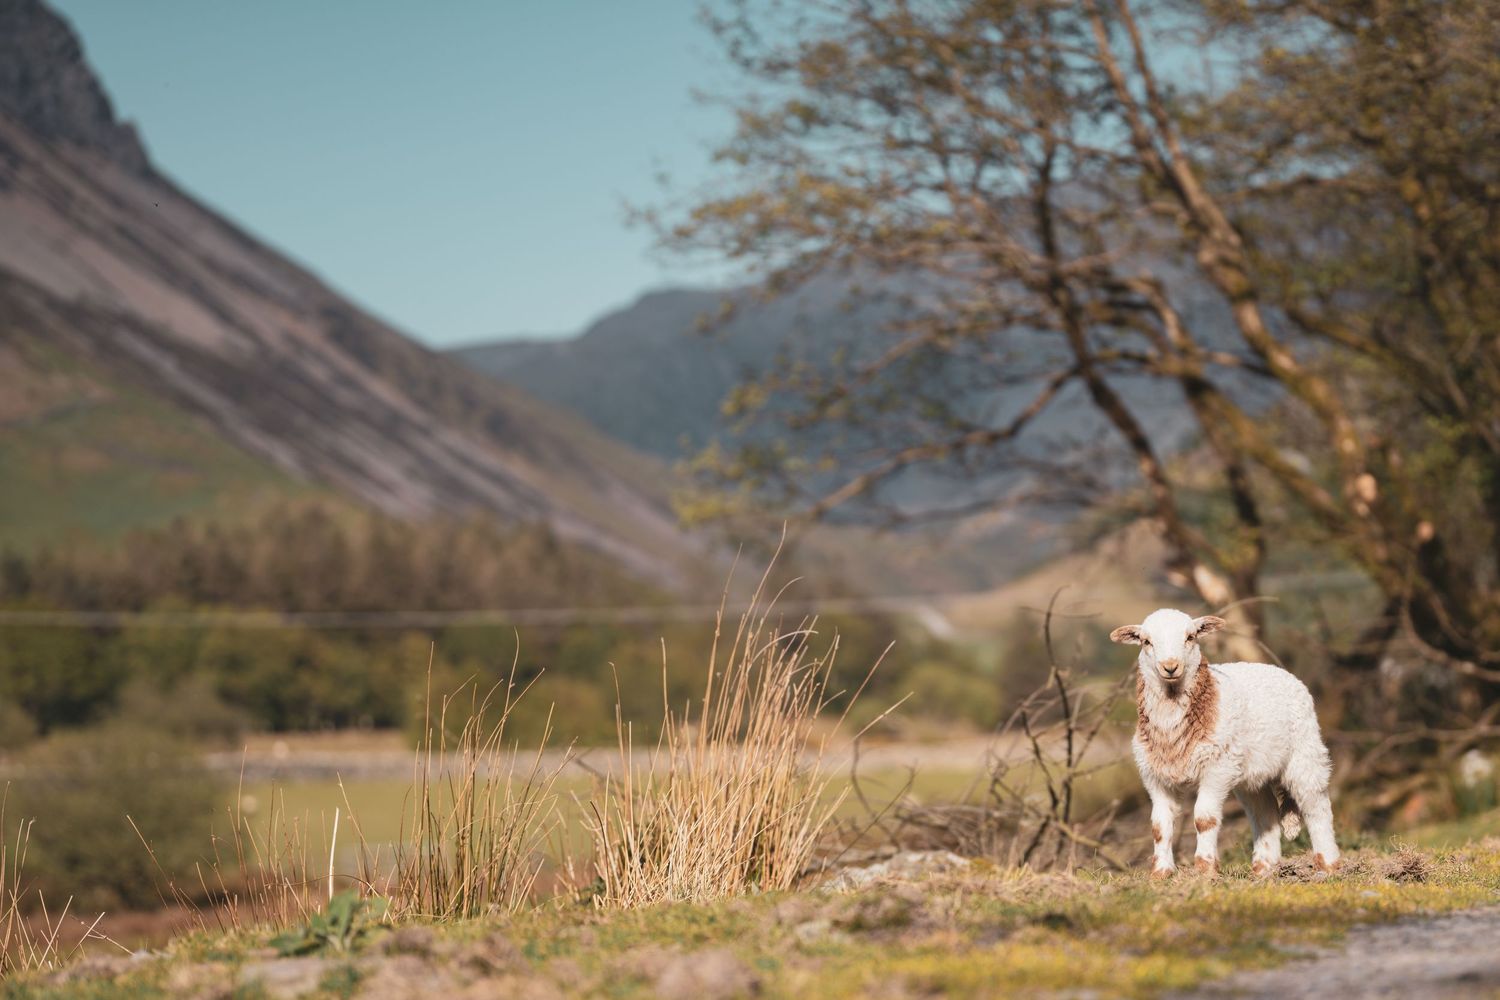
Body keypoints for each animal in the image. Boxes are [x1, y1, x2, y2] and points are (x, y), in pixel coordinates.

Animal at [1110, 608, 1339, 878]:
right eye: (1146, 642)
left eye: (1190, 637)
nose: (1170, 667)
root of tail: (1281, 672)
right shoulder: (1155, 776)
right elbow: (1159, 826)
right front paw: (1161, 873)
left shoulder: (1217, 767)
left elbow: (1204, 819)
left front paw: (1205, 869)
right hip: (1251, 774)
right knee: (1265, 813)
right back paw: (1263, 868)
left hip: (1305, 749)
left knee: (1316, 804)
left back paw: (1329, 864)